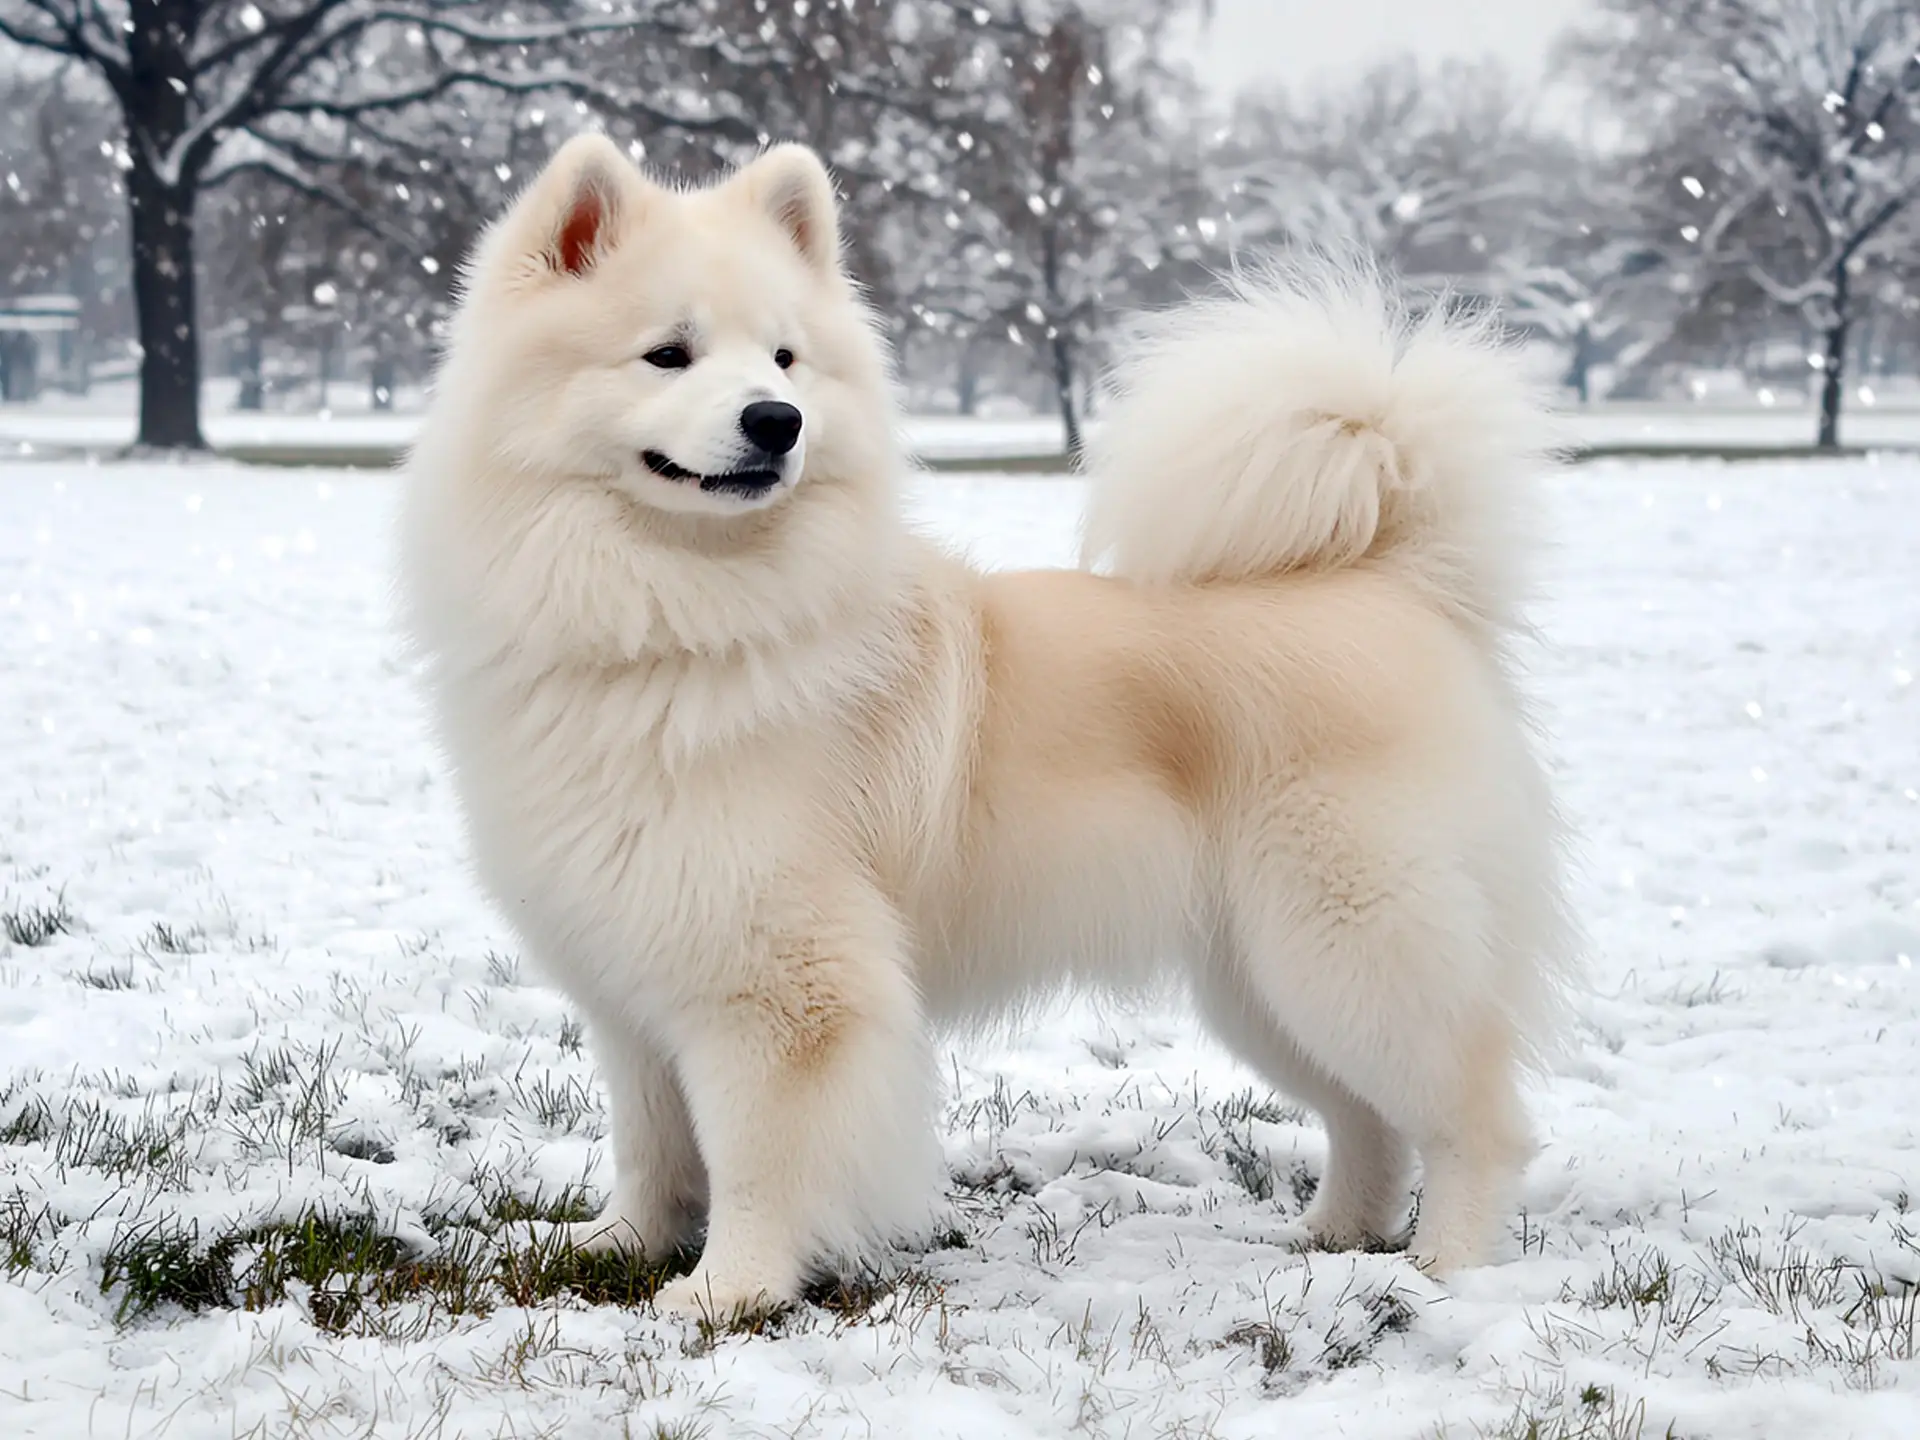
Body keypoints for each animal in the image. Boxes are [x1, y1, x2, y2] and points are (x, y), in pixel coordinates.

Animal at [401, 135, 1574, 1320]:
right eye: (668, 355)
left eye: (784, 359)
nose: (777, 421)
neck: (678, 617)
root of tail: (1398, 578)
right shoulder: (634, 984)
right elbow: (652, 1145)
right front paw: (620, 1243)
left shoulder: (782, 985)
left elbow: (758, 1159)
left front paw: (726, 1292)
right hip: (1261, 978)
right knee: (1366, 1119)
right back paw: (1334, 1239)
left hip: (1352, 946)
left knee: (1474, 1117)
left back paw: (1444, 1268)